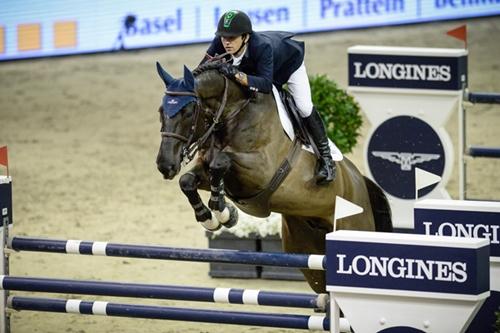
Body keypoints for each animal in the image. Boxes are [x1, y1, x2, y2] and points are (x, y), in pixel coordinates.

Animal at [154, 61, 392, 292]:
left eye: (188, 112)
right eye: (160, 111)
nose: (165, 165)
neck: (234, 112)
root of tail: (360, 181)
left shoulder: (261, 170)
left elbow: (220, 162)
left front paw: (221, 209)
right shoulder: (209, 170)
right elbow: (188, 180)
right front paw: (213, 217)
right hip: (308, 254)